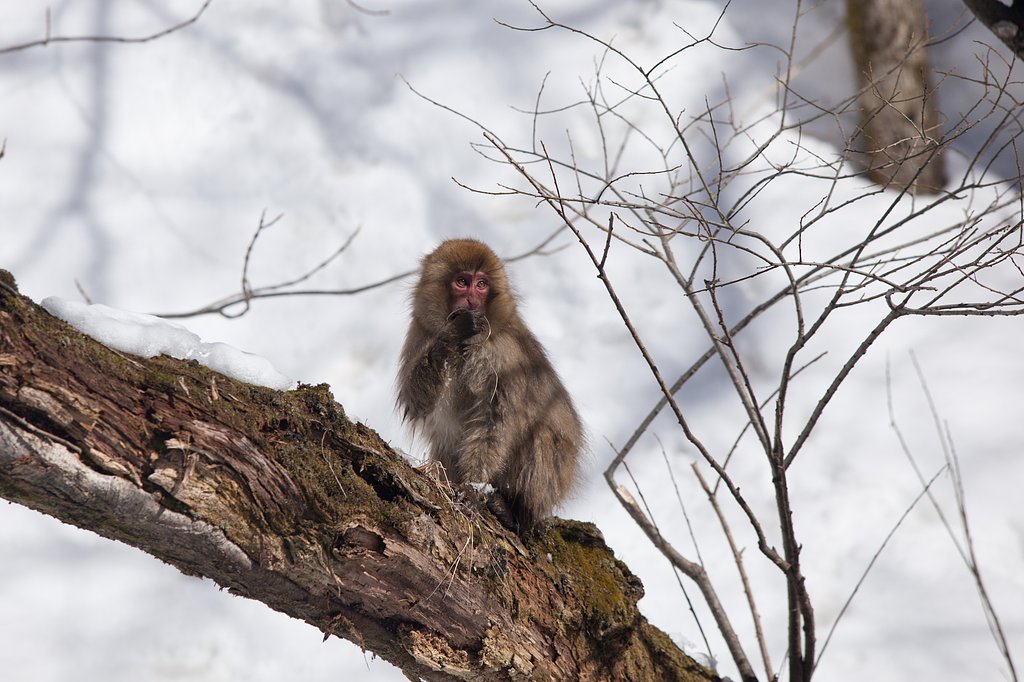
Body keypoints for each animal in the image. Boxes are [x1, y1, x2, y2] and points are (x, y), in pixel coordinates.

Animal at [397, 238, 583, 530]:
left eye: (481, 284)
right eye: (462, 281)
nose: (472, 300)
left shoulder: (504, 353)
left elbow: (494, 423)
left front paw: (473, 490)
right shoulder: (419, 332)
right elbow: (416, 402)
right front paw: (452, 334)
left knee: (542, 434)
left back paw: (515, 513)